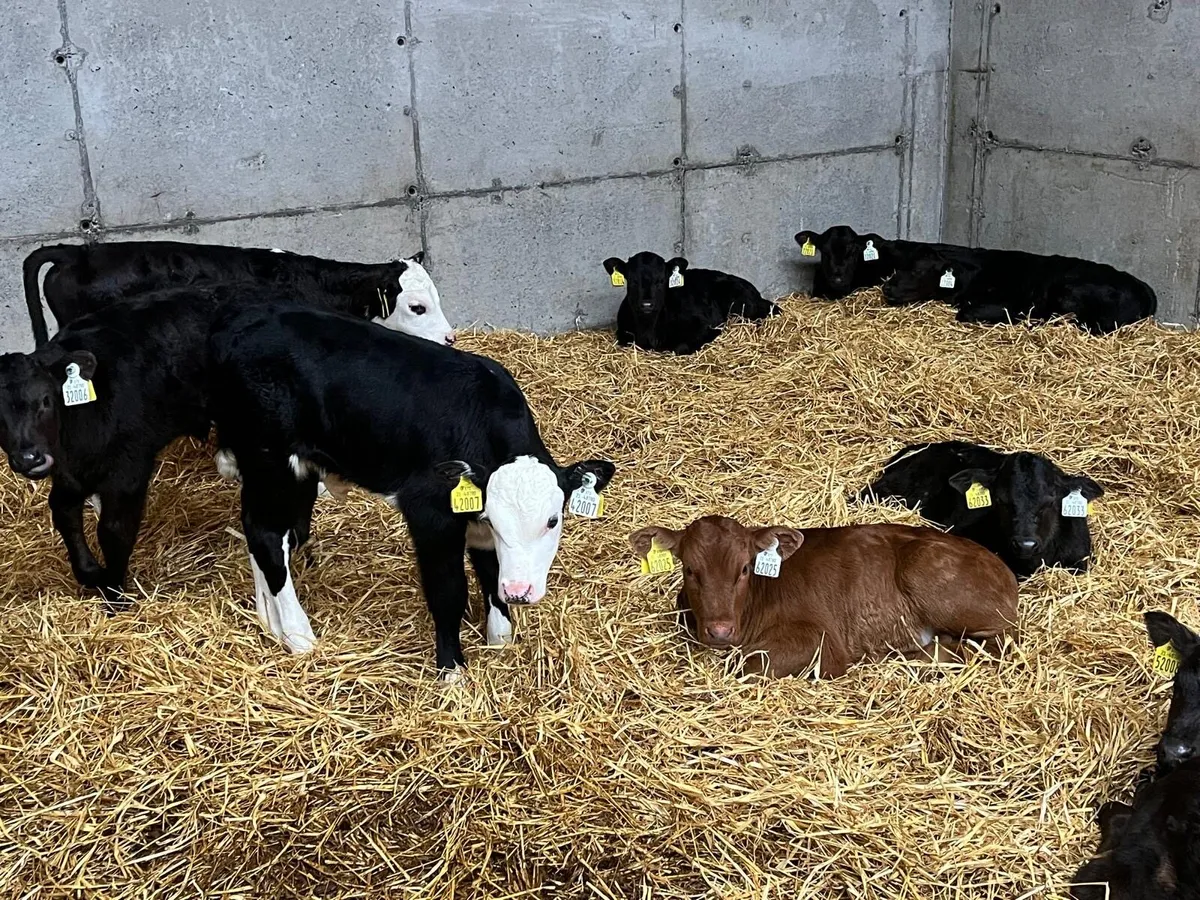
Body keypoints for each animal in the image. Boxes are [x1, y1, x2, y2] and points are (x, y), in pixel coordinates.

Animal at [0, 292, 218, 610]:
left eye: (45, 400)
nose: (30, 458)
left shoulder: (128, 471)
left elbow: (114, 530)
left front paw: (115, 595)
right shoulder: (68, 473)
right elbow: (62, 510)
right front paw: (89, 572)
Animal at [206, 303, 616, 676]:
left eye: (552, 520)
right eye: (496, 521)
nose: (519, 591)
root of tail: (244, 327)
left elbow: (489, 572)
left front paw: (499, 637)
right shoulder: (430, 513)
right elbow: (448, 591)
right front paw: (452, 670)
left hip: (293, 472)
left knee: (272, 532)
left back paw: (271, 621)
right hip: (270, 460)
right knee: (267, 535)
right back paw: (298, 635)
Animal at [601, 252, 776, 354]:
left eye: (661, 280)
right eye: (632, 281)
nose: (647, 304)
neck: (649, 330)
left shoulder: (703, 325)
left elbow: (680, 347)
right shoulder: (623, 333)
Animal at [628, 515, 1017, 678]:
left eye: (744, 568)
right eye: (690, 569)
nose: (720, 630)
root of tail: (1001, 565)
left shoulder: (821, 641)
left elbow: (746, 662)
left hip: (926, 569)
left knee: (1000, 645)